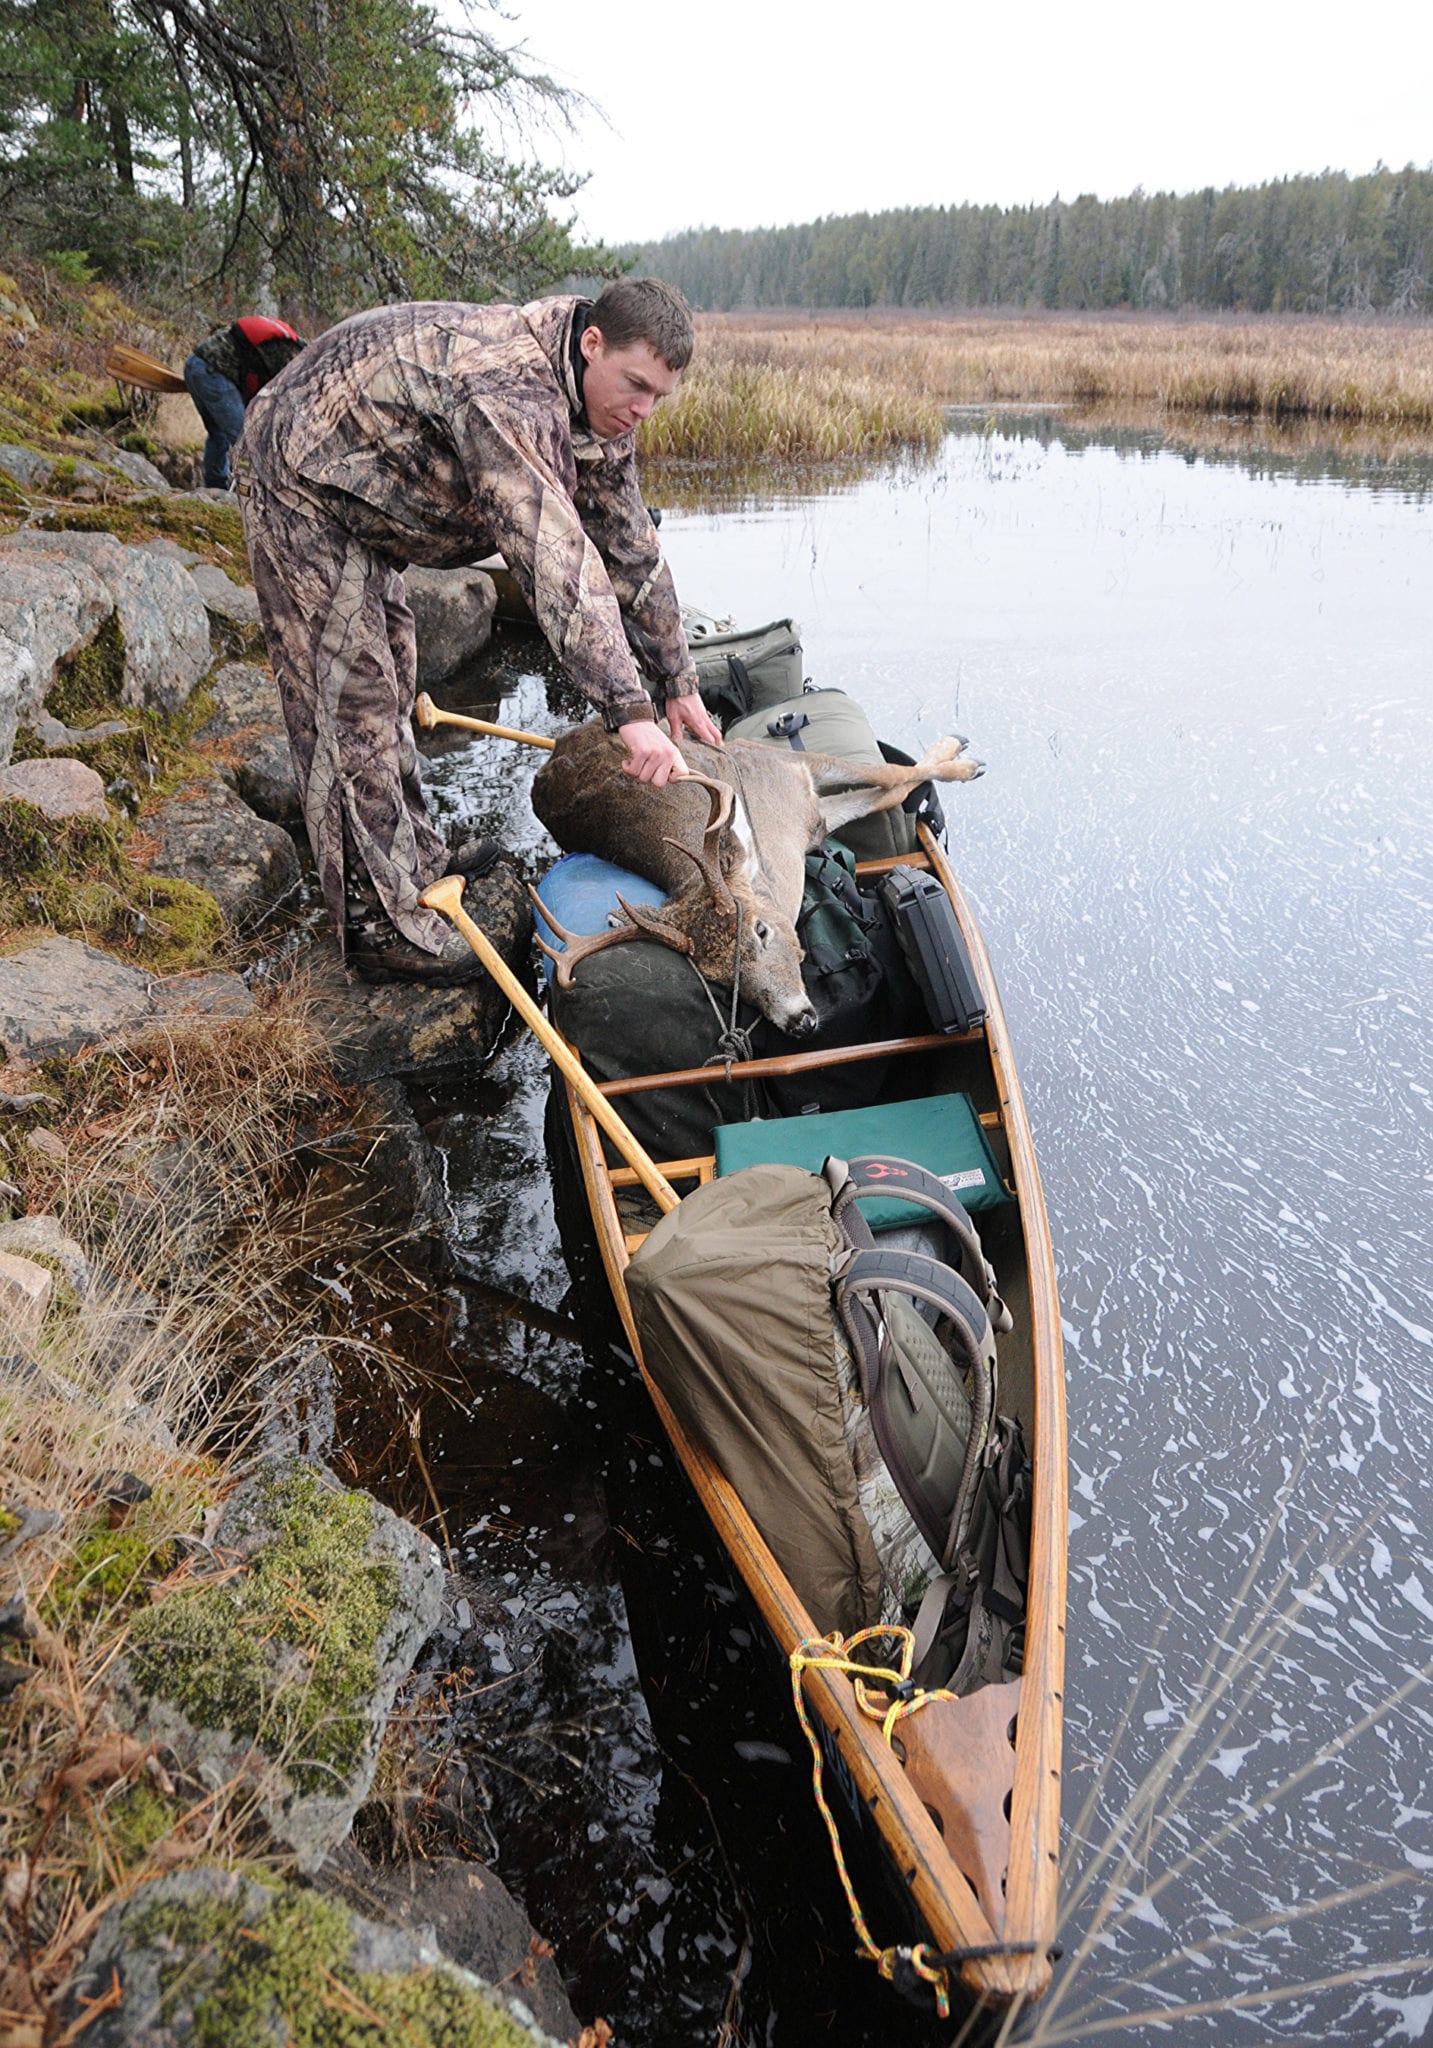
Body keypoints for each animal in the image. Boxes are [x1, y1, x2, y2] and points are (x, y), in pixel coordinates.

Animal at [528, 720, 983, 1039]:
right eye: (716, 978)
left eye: (760, 930)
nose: (799, 1022)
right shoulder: (810, 816)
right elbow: (890, 788)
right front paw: (960, 759)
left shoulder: (784, 767)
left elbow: (889, 775)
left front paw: (963, 758)